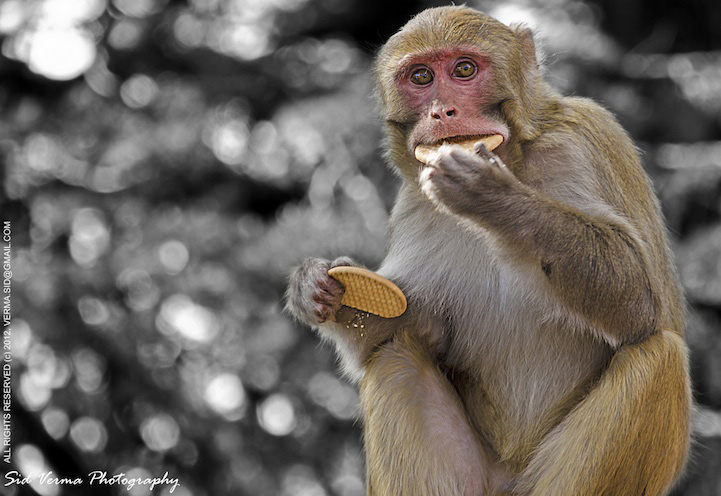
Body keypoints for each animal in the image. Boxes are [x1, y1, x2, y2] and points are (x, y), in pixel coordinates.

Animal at [284, 4, 688, 496]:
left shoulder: (589, 137)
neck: (516, 156)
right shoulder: (412, 205)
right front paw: (316, 288)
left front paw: (493, 196)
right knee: (395, 359)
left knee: (659, 354)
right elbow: (410, 327)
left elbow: (643, 302)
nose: (442, 111)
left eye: (464, 70)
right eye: (421, 77)